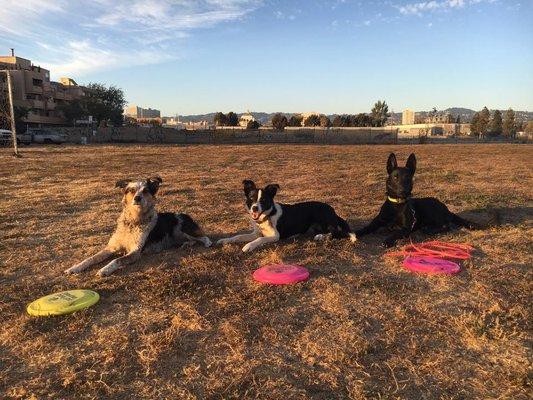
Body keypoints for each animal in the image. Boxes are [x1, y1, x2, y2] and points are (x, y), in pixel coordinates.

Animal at [214, 180, 356, 252]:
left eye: (264, 200)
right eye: (251, 199)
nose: (255, 208)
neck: (267, 216)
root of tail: (333, 210)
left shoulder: (275, 236)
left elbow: (260, 239)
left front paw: (248, 246)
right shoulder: (256, 232)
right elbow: (239, 236)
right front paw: (225, 240)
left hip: (322, 217)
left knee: (334, 232)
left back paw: (321, 236)